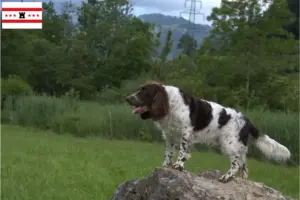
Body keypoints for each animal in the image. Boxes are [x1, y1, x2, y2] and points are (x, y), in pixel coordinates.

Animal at [125, 81, 292, 181]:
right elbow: (168, 154)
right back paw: (242, 180)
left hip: (229, 144)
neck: (170, 103)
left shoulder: (186, 133)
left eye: (144, 91)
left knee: (236, 164)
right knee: (244, 165)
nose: (127, 98)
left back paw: (226, 177)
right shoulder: (170, 135)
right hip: (239, 147)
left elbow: (182, 152)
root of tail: (246, 121)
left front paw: (178, 166)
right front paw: (165, 166)